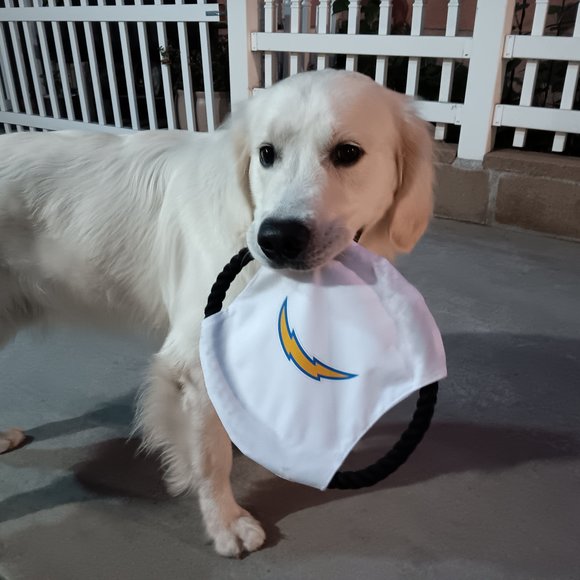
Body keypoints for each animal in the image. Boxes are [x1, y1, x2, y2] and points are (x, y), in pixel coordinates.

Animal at [0, 69, 433, 556]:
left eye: (347, 153)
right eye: (267, 153)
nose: (277, 239)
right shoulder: (194, 362)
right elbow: (211, 457)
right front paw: (224, 522)